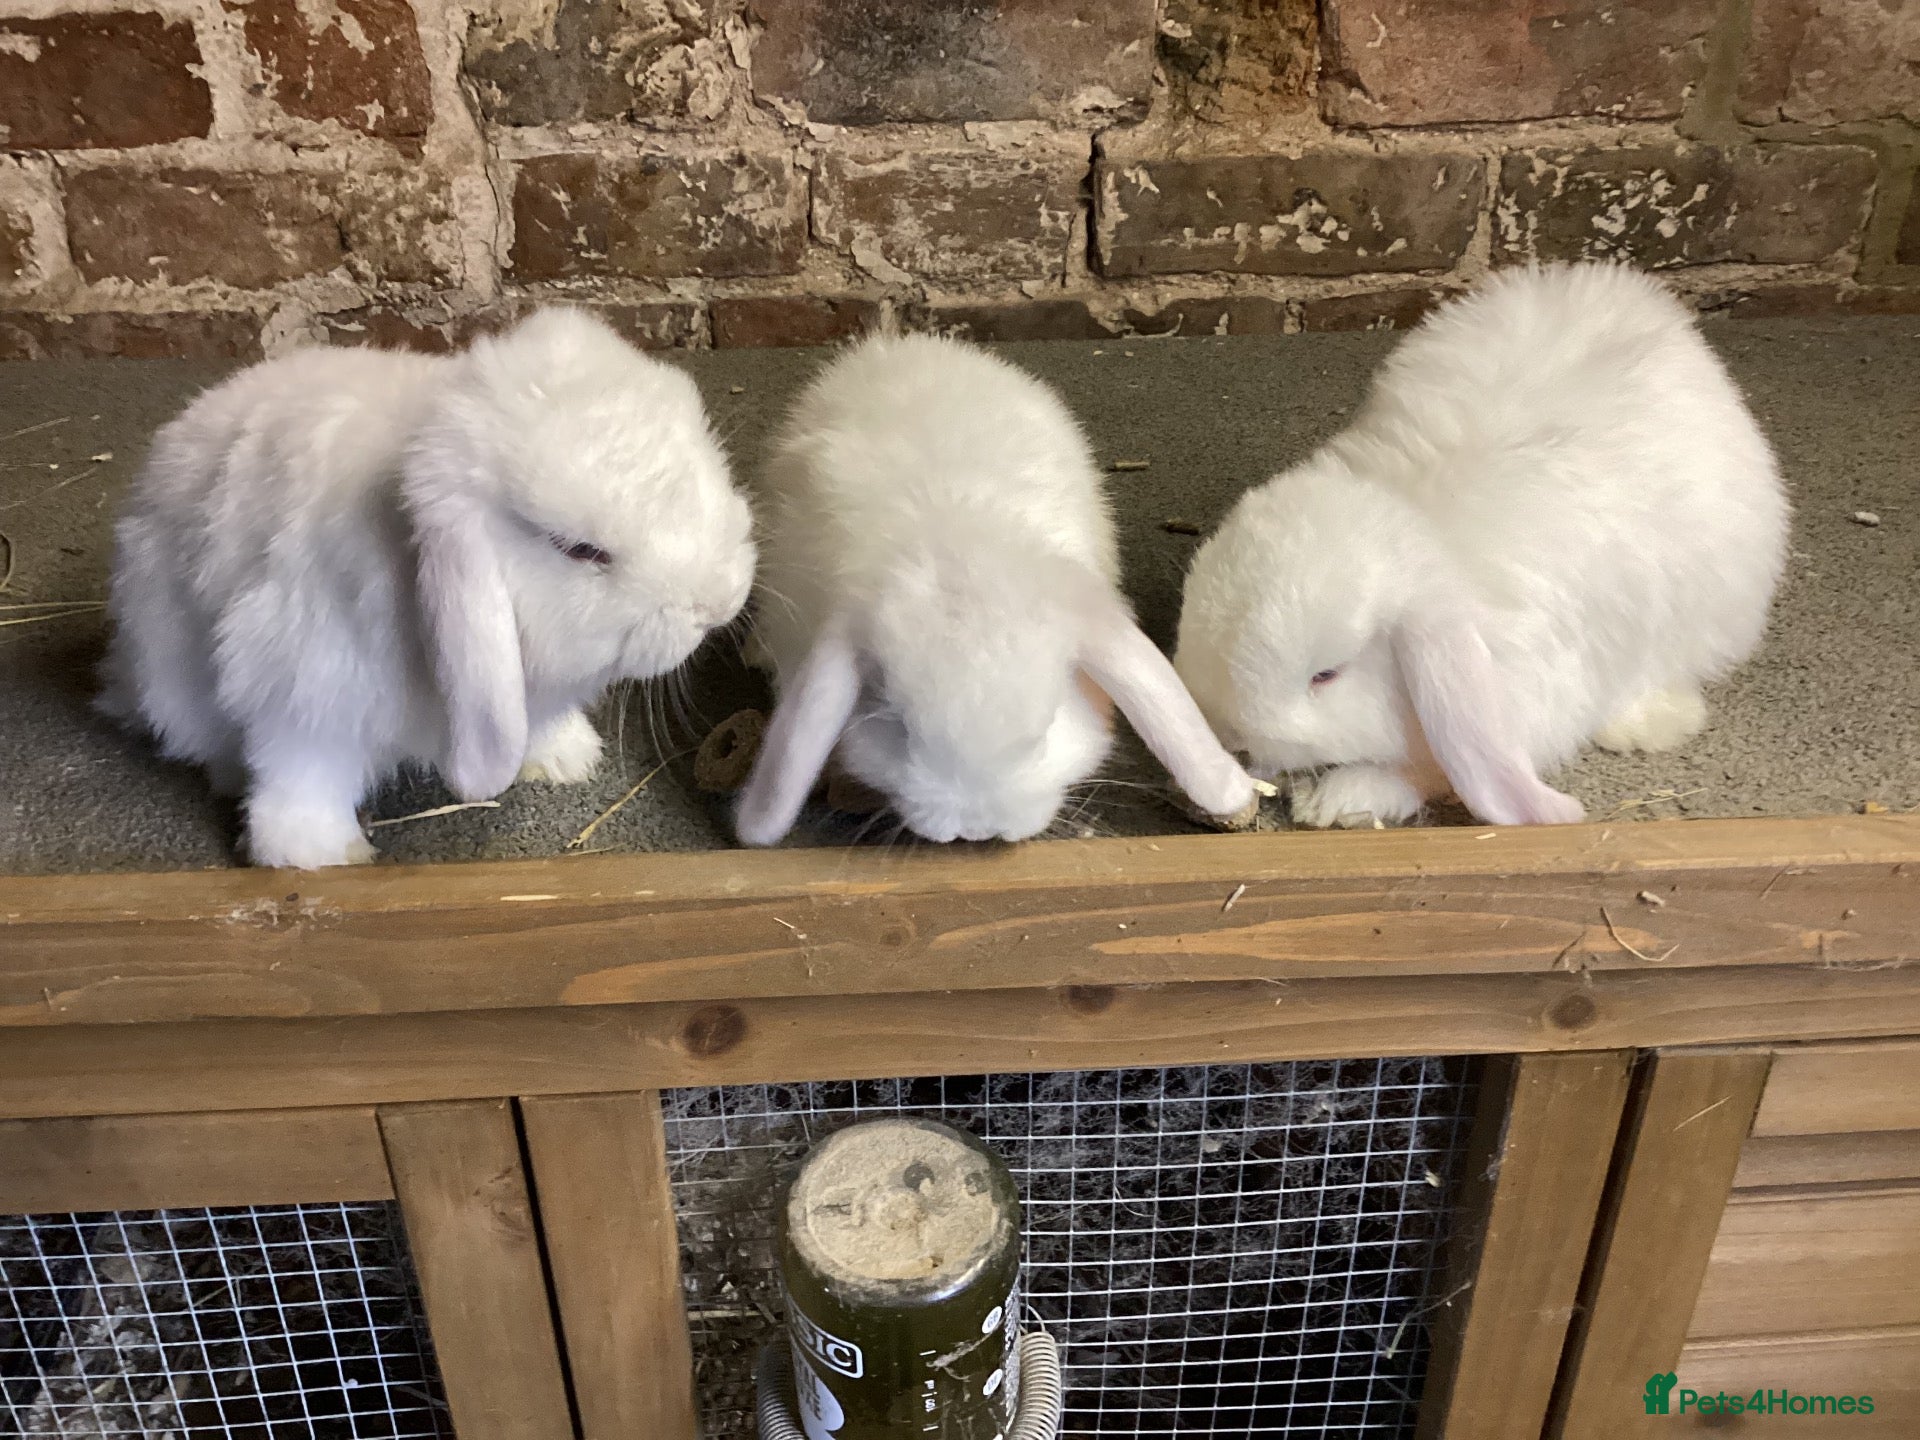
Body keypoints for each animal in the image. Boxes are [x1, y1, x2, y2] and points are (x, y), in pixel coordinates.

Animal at [97, 307, 756, 869]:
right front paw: (319, 855)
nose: (719, 603)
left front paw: (564, 759)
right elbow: (303, 775)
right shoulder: (304, 684)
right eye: (579, 550)